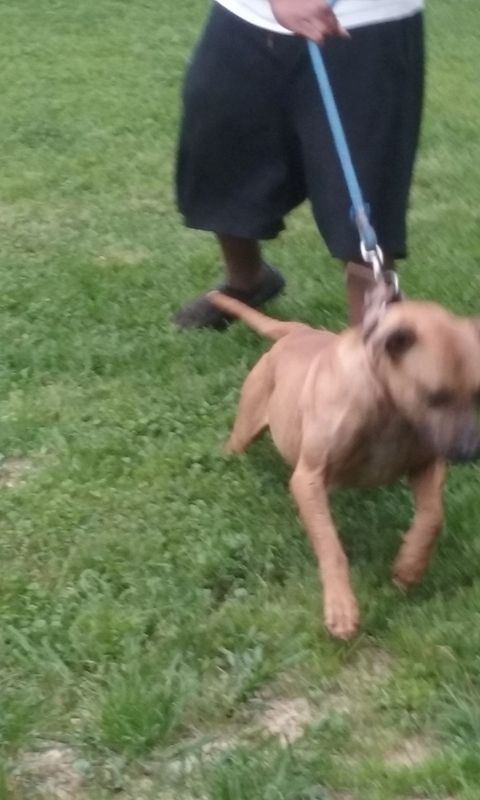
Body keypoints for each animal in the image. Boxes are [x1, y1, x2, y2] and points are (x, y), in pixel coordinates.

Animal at [208, 289, 480, 639]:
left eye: (477, 394)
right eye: (435, 395)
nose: (471, 450)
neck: (388, 408)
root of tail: (296, 331)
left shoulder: (426, 465)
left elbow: (432, 518)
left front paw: (410, 565)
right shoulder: (309, 477)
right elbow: (331, 546)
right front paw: (340, 606)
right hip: (245, 428)